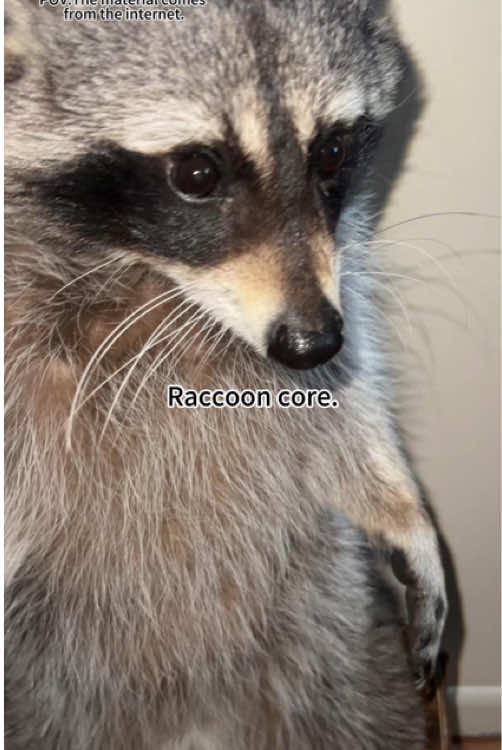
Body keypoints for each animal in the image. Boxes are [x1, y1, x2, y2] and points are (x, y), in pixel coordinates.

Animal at [4, 0, 447, 747]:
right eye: (196, 173)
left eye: (331, 151)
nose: (310, 343)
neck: (149, 273)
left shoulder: (336, 260)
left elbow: (343, 394)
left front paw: (399, 507)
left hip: (331, 636)